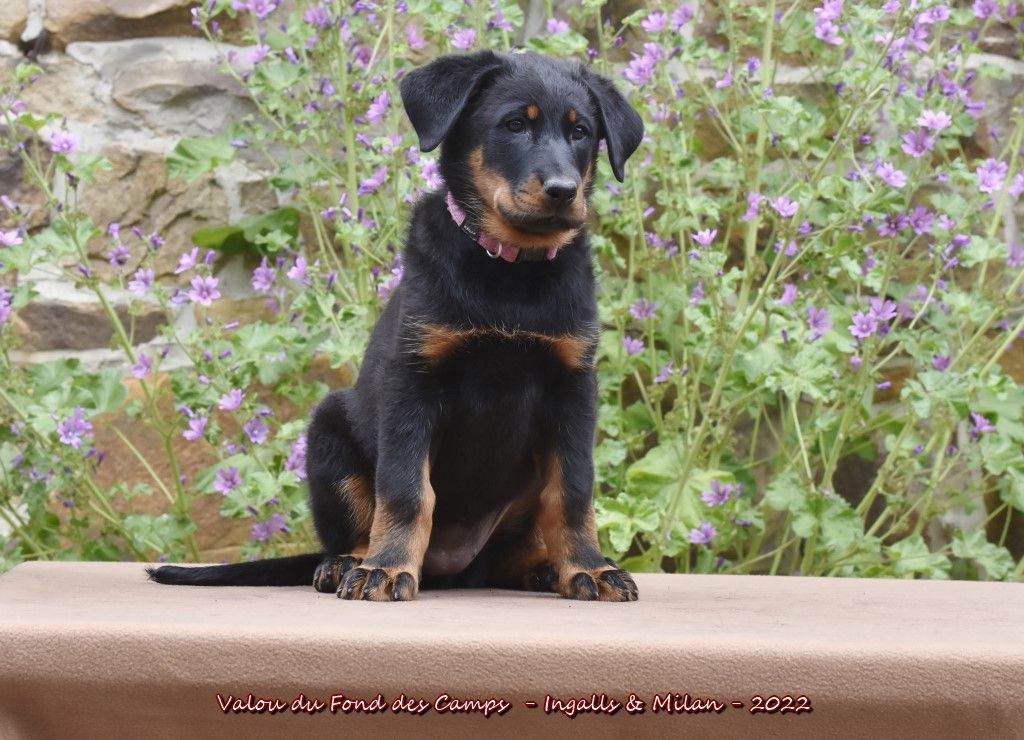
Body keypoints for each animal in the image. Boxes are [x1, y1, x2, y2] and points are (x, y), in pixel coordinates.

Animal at [149, 50, 644, 601]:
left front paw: (589, 569)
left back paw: (544, 569)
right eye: (515, 124)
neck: (510, 271)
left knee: (511, 553)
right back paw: (348, 564)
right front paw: (386, 569)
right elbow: (407, 490)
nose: (563, 191)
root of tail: (454, 568)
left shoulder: (573, 388)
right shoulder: (413, 382)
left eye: (581, 132)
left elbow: (574, 492)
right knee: (354, 528)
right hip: (329, 432)